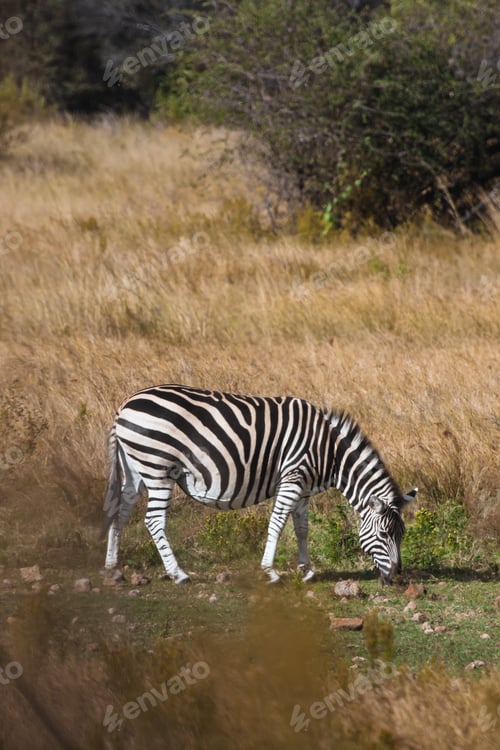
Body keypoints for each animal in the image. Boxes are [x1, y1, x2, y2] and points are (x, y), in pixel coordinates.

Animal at [101, 384, 417, 584]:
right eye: (385, 533)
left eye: (401, 533)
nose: (397, 575)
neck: (330, 451)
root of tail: (124, 406)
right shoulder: (292, 477)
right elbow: (277, 523)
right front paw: (270, 572)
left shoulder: (303, 488)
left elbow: (302, 528)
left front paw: (307, 570)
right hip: (158, 467)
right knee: (153, 521)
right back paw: (178, 574)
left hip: (135, 468)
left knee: (121, 510)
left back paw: (112, 566)